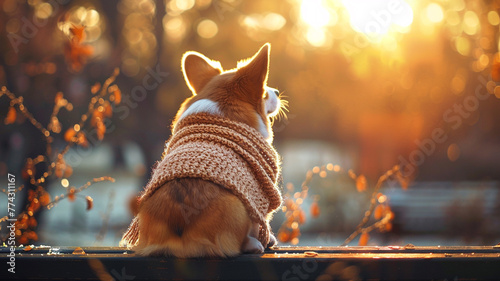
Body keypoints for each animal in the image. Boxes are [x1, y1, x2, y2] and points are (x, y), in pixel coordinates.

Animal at [127, 43, 286, 256]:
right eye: (264, 94)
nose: (276, 91)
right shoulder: (260, 195)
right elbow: (261, 220)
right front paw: (268, 239)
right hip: (239, 207)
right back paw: (254, 244)